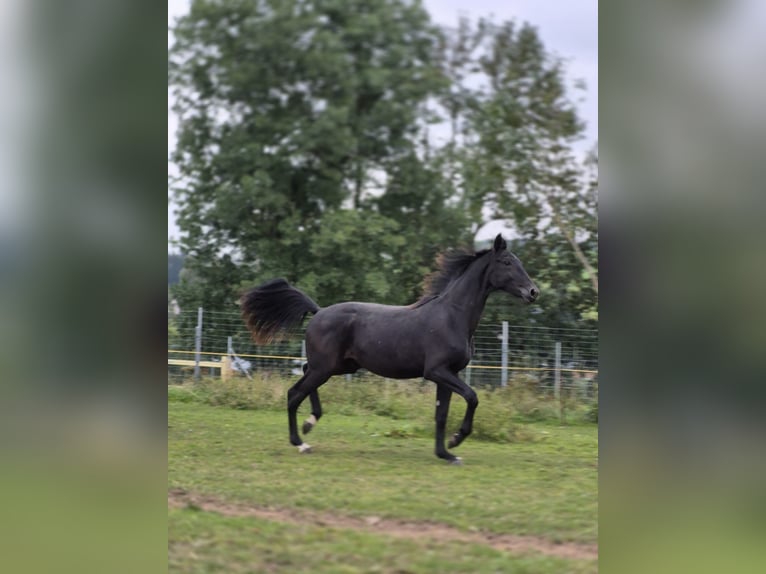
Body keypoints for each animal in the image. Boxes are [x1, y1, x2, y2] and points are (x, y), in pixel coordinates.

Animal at [240, 234, 539, 464]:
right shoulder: (437, 371)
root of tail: (318, 311)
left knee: (303, 374)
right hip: (325, 368)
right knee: (293, 394)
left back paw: (310, 421)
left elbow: (441, 415)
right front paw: (456, 441)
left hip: (337, 366)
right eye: (507, 262)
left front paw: (445, 454)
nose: (533, 292)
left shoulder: (447, 375)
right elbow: (472, 397)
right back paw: (301, 442)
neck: (453, 316)